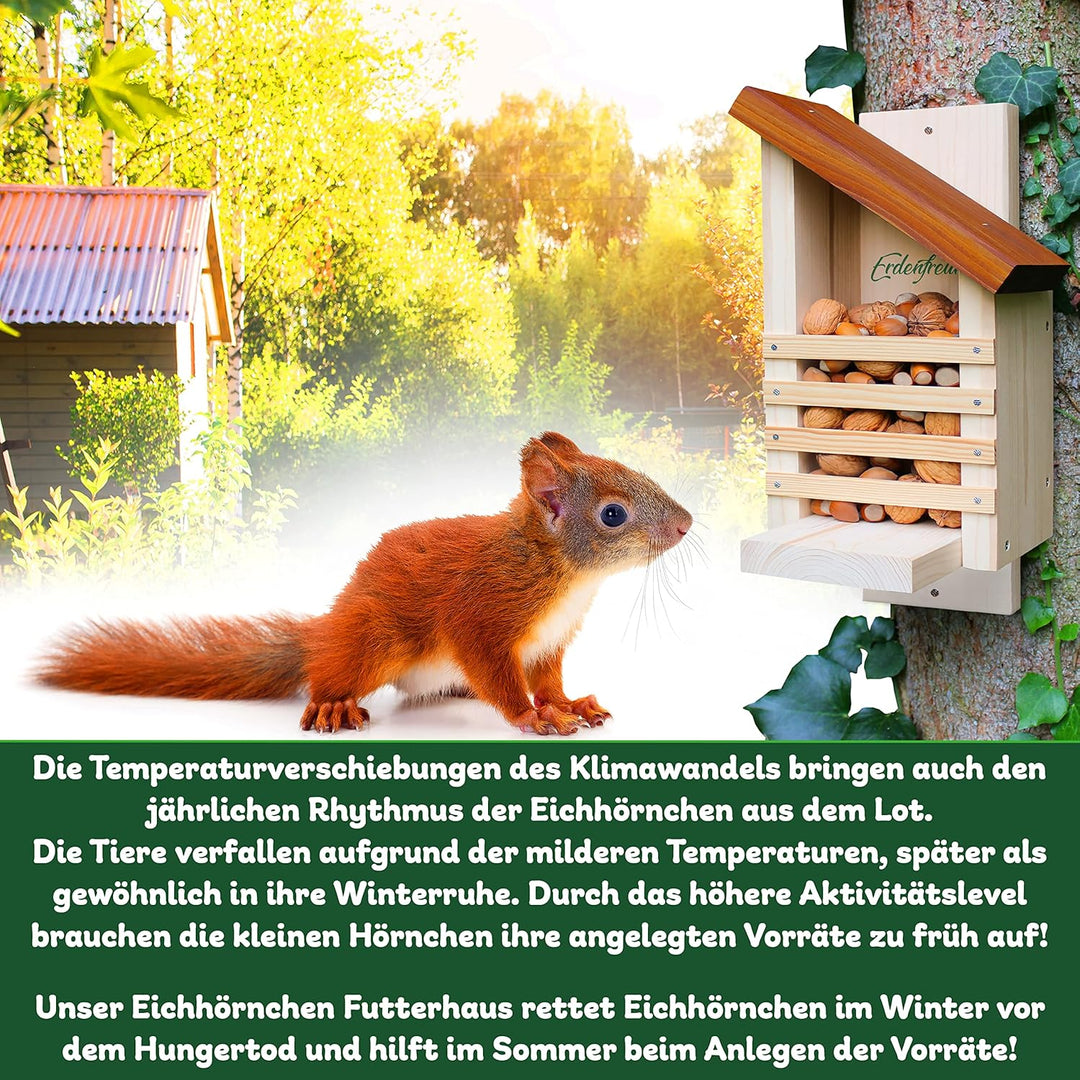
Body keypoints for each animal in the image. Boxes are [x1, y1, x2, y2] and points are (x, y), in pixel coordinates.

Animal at [37, 432, 692, 736]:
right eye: (613, 513)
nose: (686, 523)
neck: (562, 575)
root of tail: (329, 626)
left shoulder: (551, 641)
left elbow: (549, 680)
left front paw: (568, 704)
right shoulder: (483, 614)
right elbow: (501, 676)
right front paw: (534, 717)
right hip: (378, 637)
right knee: (333, 670)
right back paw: (333, 703)